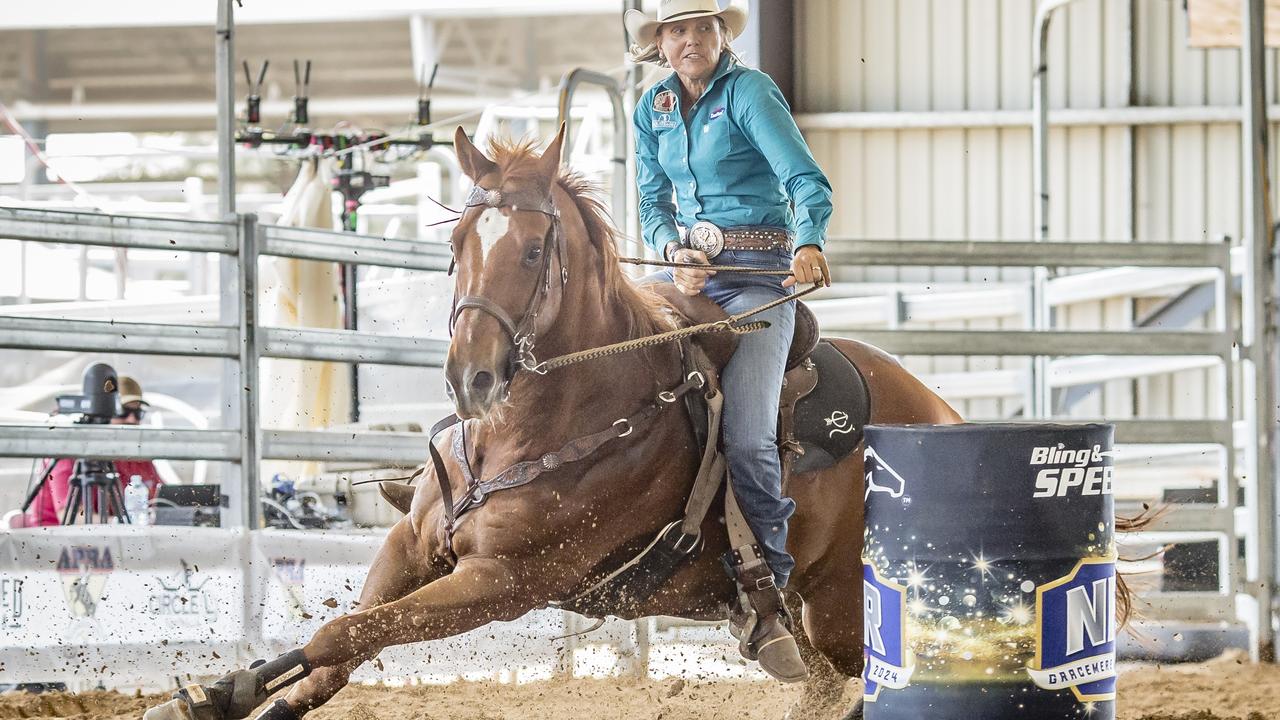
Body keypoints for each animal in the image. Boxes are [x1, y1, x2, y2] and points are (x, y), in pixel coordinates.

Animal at [142, 127, 962, 717]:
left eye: (535, 250)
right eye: (456, 246)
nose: (470, 377)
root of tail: (938, 410)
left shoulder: (501, 582)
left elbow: (337, 633)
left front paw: (218, 691)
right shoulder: (412, 545)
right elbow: (332, 653)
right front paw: (217, 693)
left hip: (843, 612)